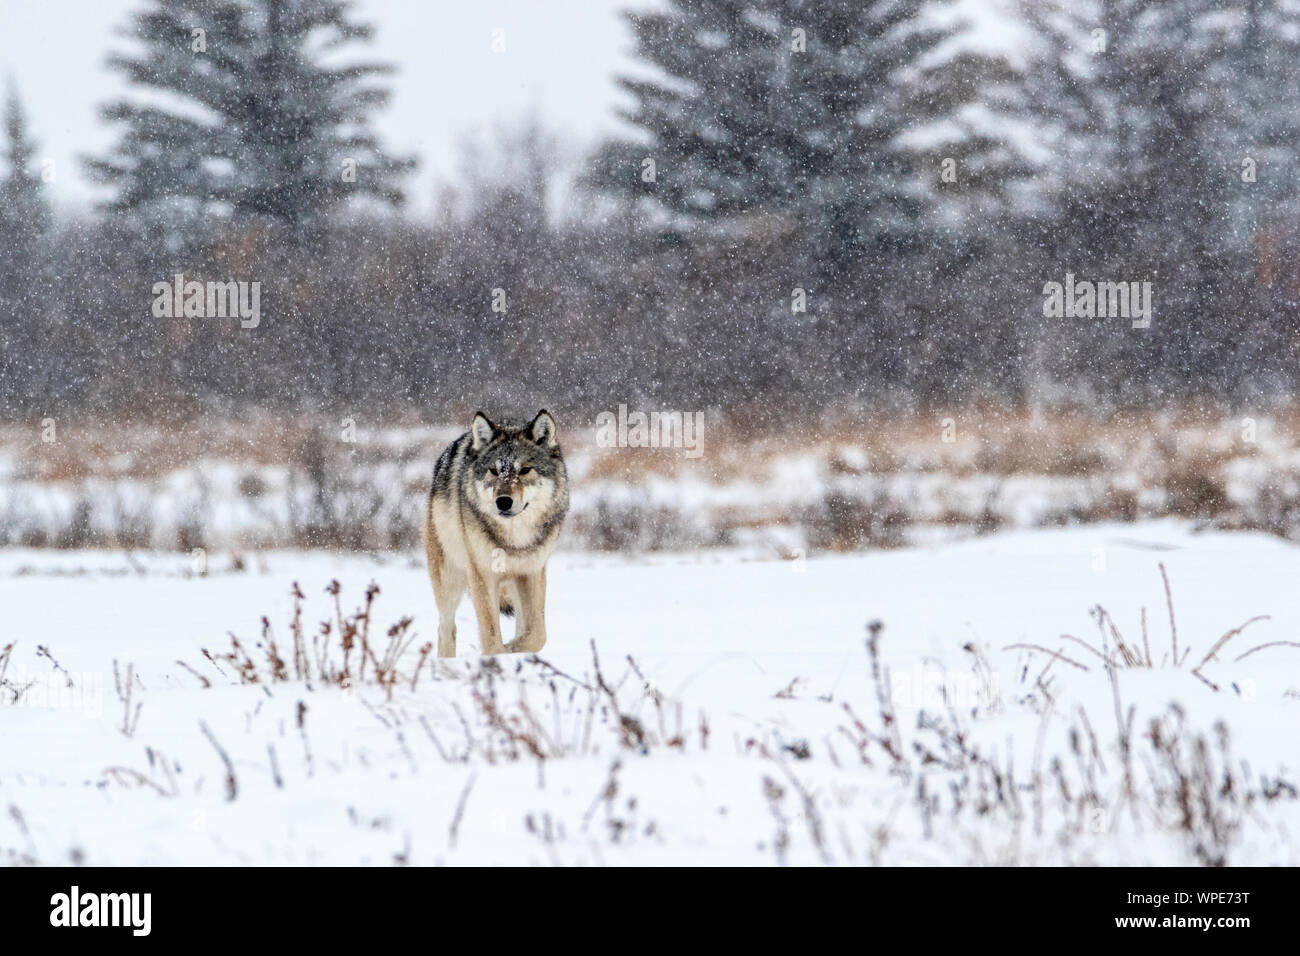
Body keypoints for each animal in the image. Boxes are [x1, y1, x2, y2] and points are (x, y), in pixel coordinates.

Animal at [424, 410, 569, 656]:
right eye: (493, 470)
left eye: (525, 470)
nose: (503, 501)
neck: (515, 540)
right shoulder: (482, 574)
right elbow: (491, 636)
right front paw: (501, 654)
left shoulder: (532, 571)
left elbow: (537, 634)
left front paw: (514, 648)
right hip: (448, 580)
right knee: (446, 629)